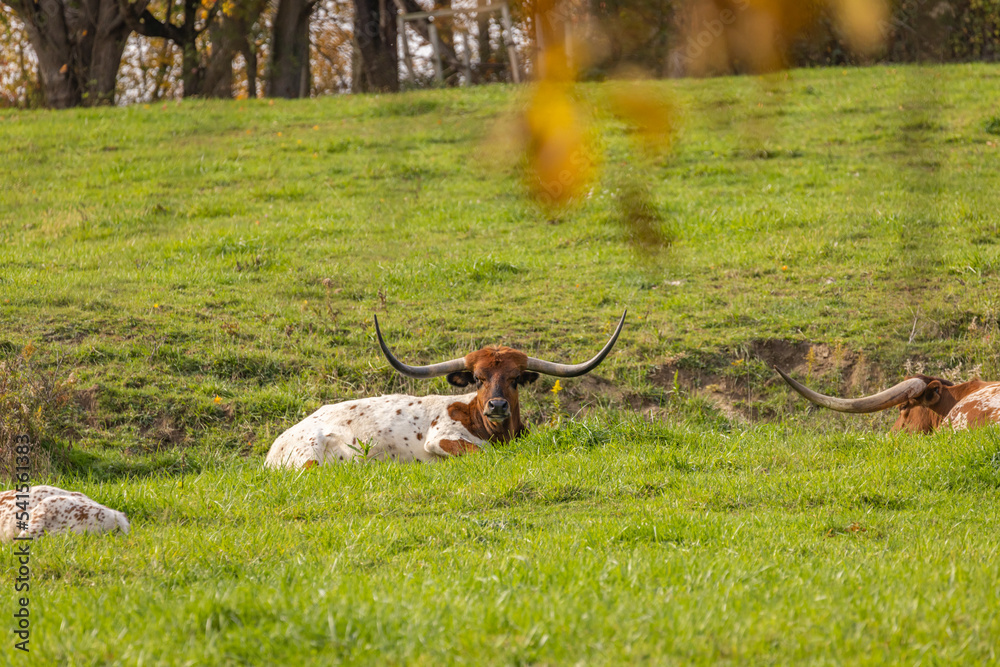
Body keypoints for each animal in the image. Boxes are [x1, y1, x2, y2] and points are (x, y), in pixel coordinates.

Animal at [265, 311, 627, 468]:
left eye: (514, 379)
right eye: (478, 378)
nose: (497, 406)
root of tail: (273, 450)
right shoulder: (441, 438)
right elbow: (481, 452)